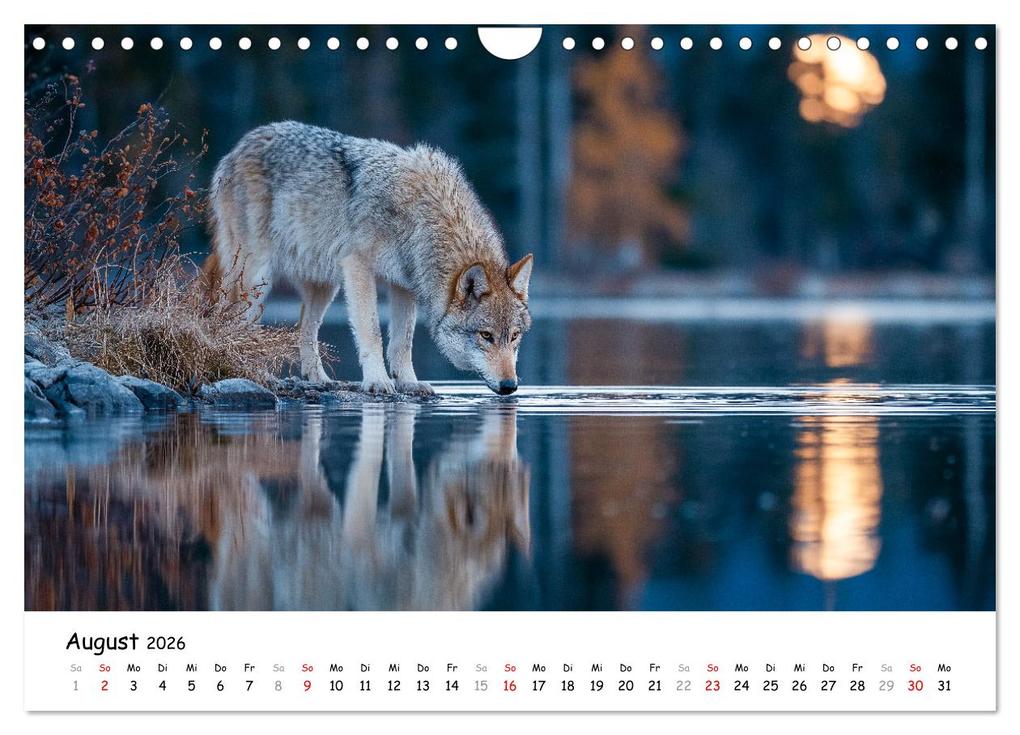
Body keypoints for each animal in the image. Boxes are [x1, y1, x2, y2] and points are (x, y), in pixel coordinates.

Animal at [205, 121, 533, 395]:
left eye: (515, 336)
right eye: (486, 335)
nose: (510, 386)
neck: (423, 214)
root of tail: (239, 146)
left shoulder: (404, 285)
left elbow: (403, 341)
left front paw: (409, 384)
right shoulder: (358, 266)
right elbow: (372, 331)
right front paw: (378, 381)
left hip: (323, 287)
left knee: (305, 331)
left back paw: (321, 380)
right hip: (257, 278)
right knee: (241, 325)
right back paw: (259, 375)